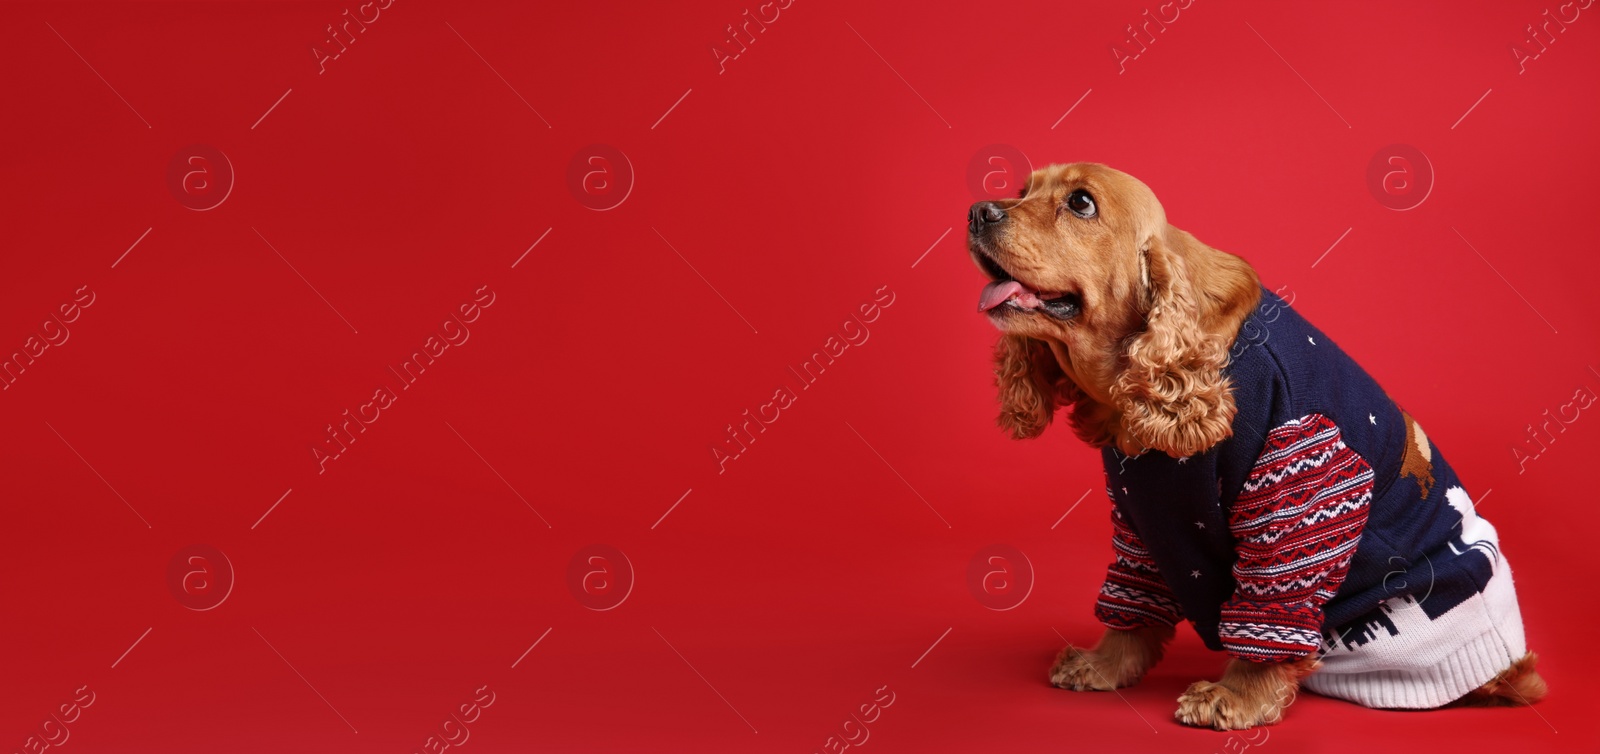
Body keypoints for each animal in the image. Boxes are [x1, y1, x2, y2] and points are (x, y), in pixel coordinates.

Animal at [966, 162, 1542, 729]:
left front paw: (1237, 697)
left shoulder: (1297, 481)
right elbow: (1134, 597)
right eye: (1023, 189)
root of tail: (1508, 664)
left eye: (1081, 203)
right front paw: (1104, 664)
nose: (978, 212)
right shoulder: (1140, 515)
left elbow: (1272, 602)